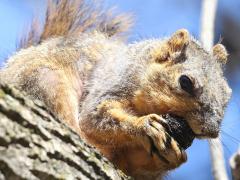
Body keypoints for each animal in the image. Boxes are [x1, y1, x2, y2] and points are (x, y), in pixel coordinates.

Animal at [0, 0, 232, 179]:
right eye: (185, 82)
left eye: (228, 95)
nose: (211, 131)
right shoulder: (110, 84)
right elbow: (95, 118)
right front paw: (144, 125)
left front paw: (171, 156)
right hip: (45, 81)